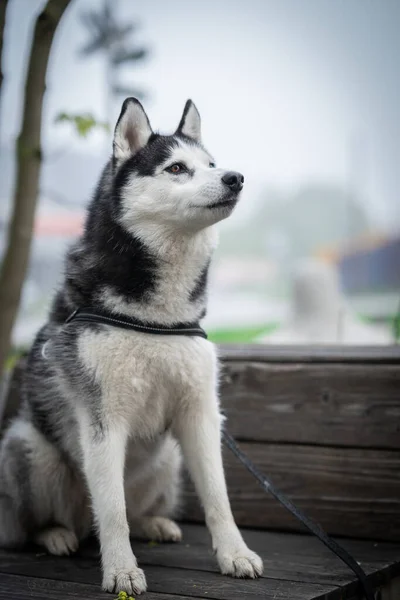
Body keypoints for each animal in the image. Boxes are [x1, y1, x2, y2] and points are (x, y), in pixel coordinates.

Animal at [0, 99, 264, 596]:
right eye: (176, 168)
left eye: (211, 165)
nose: (235, 177)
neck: (157, 317)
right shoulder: (104, 420)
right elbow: (112, 509)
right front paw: (121, 570)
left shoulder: (200, 414)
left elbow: (218, 498)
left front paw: (235, 554)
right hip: (29, 448)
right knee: (37, 525)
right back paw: (56, 534)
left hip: (169, 458)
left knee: (135, 510)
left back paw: (154, 523)